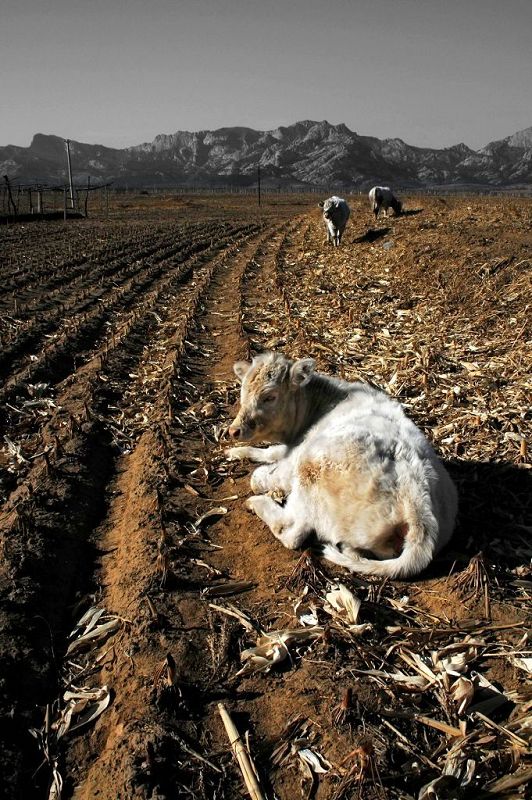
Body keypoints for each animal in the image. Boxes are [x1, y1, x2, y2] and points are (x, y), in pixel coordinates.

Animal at [225, 354, 458, 580]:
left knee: (292, 531)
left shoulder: (295, 457)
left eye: (269, 396)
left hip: (311, 471)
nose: (234, 430)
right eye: (243, 392)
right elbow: (270, 451)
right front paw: (237, 452)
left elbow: (259, 476)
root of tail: (418, 504)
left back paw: (257, 503)